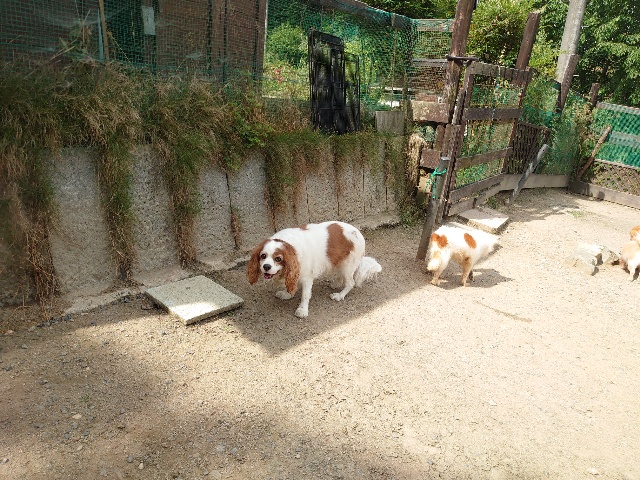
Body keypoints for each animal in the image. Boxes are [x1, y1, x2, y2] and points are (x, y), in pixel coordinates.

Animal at [247, 221, 382, 318]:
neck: (291, 248)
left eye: (278, 259)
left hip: (348, 265)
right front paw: (287, 294)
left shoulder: (307, 277)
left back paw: (339, 295)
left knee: (351, 283)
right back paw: (337, 283)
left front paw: (302, 310)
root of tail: (358, 233)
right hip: (339, 262)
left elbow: (305, 295)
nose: (266, 266)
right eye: (263, 256)